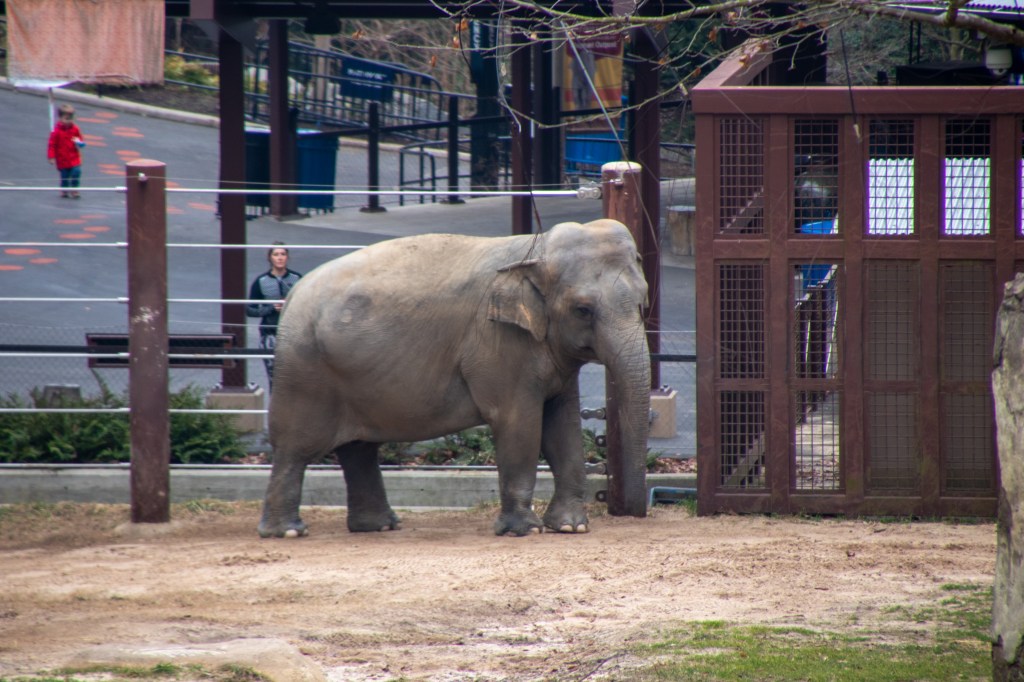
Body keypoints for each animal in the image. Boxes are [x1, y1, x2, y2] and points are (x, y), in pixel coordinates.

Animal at [257, 218, 651, 538]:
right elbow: (519, 423)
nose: (636, 512)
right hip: (304, 371)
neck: (534, 249)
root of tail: (292, 294)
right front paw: (524, 531)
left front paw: (571, 527)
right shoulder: (498, 342)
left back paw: (378, 526)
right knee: (295, 447)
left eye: (643, 303)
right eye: (583, 310)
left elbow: (563, 426)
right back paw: (287, 532)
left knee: (358, 449)